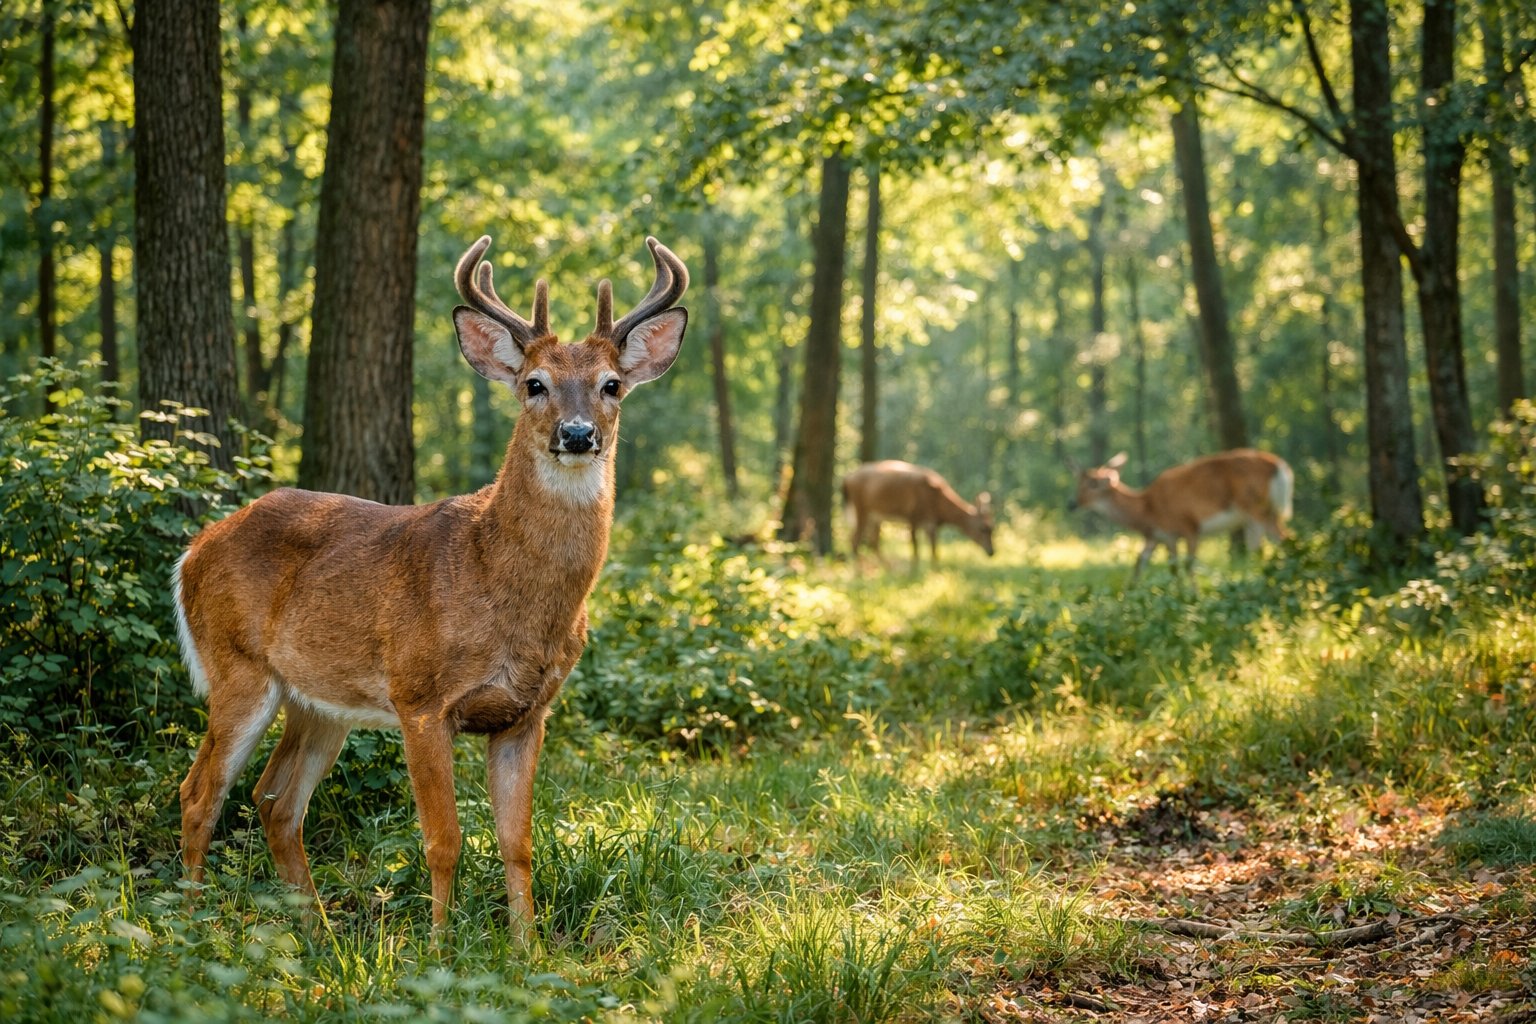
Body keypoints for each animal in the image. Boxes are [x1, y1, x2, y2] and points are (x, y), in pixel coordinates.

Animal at [172, 234, 689, 937]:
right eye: (535, 384)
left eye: (611, 385)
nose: (579, 433)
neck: (499, 583)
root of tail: (194, 549)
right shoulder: (419, 698)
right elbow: (443, 840)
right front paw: (440, 947)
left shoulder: (529, 713)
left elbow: (518, 843)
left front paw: (527, 948)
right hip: (238, 667)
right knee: (199, 793)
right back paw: (191, 928)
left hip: (320, 701)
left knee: (274, 799)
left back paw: (319, 933)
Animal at [843, 460, 995, 567]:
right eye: (984, 528)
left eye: (992, 528)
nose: (992, 552)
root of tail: (848, 479)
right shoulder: (913, 518)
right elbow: (916, 550)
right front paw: (914, 572)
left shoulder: (930, 524)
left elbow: (934, 551)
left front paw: (935, 572)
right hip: (861, 508)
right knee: (855, 539)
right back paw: (858, 572)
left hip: (875, 516)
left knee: (872, 541)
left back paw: (887, 567)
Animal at [1072, 448, 1293, 579]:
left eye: (1091, 484)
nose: (1071, 503)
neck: (1146, 511)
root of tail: (1281, 467)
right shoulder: (1158, 537)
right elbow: (1143, 564)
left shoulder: (1188, 526)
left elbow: (1186, 566)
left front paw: (1191, 598)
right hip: (1256, 517)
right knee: (1264, 547)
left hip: (1258, 508)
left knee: (1279, 540)